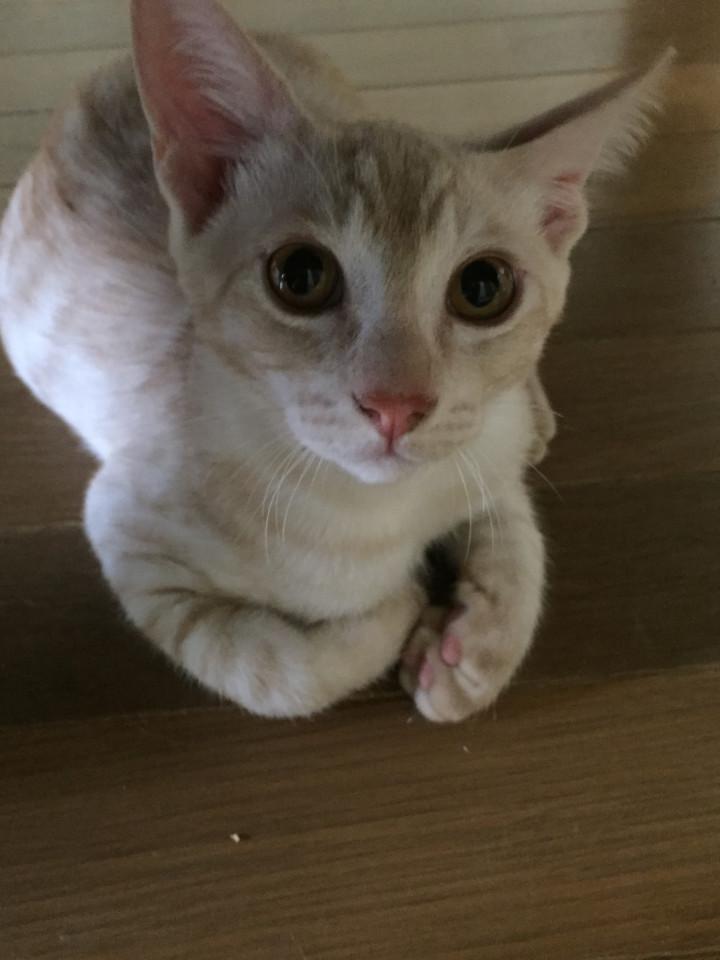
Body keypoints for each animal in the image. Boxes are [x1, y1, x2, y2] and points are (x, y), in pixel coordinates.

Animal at [0, 0, 672, 722]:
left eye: (483, 288)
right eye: (300, 275)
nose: (397, 405)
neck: (375, 517)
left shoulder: (483, 444)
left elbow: (518, 527)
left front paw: (474, 647)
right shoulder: (130, 541)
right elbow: (274, 670)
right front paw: (400, 609)